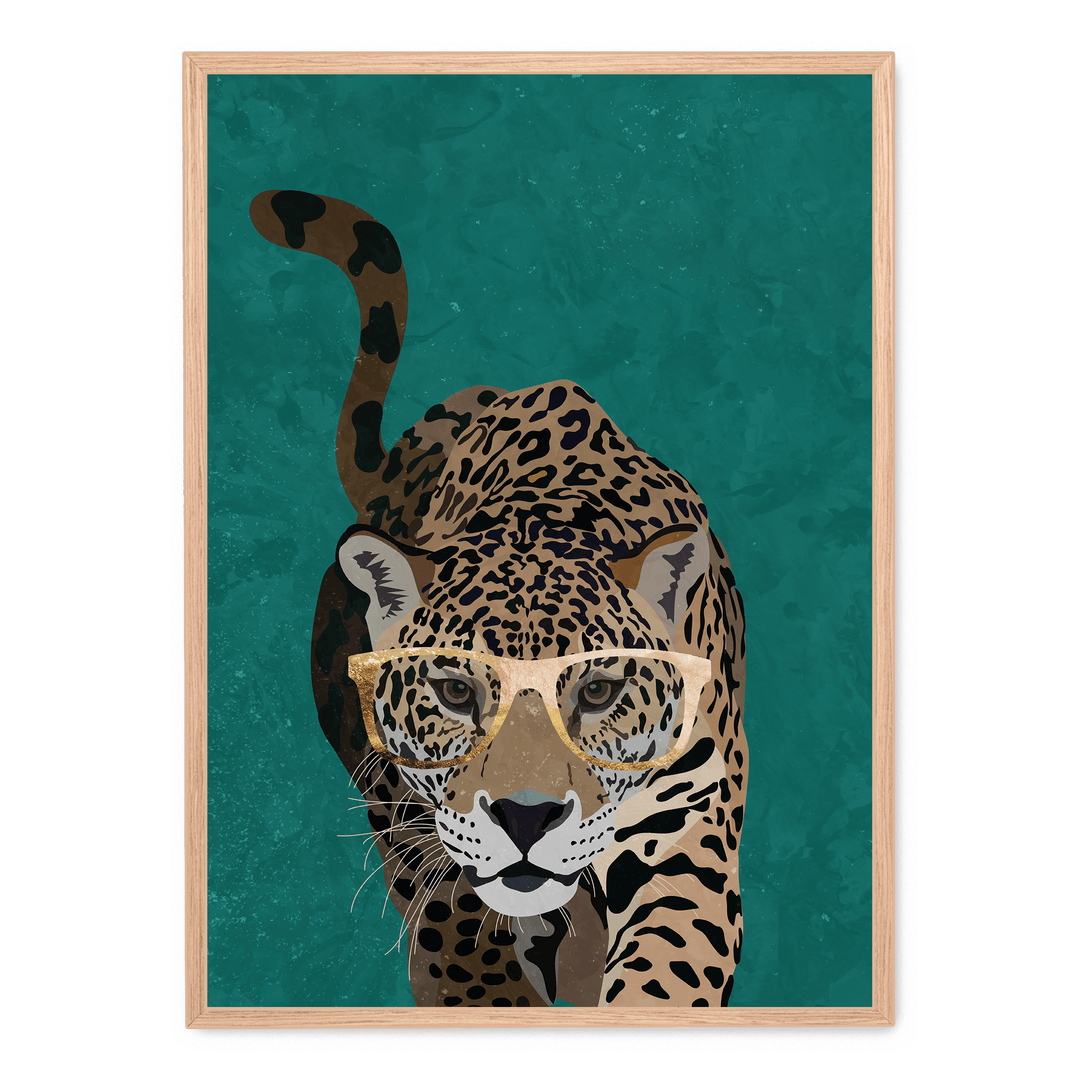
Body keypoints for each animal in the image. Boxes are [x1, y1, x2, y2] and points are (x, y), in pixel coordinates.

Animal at [250, 188, 748, 1008]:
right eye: (454, 691)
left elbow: (669, 967)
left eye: (599, 691)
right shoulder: (423, 835)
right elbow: (464, 949)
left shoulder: (687, 829)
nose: (526, 817)